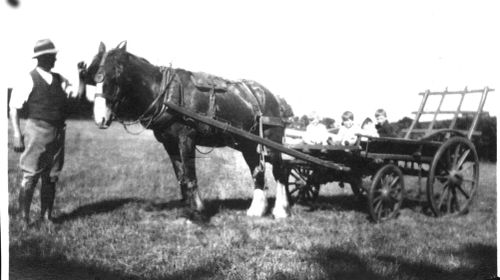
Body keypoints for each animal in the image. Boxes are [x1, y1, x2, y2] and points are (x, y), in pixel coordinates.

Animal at [80, 41, 294, 220]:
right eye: (95, 78)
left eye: (115, 76)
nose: (99, 118)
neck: (165, 93)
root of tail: (271, 96)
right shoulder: (169, 143)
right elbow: (181, 176)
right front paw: (188, 208)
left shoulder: (186, 139)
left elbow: (190, 175)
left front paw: (198, 211)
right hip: (247, 143)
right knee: (257, 171)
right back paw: (256, 209)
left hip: (272, 140)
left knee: (280, 171)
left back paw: (281, 210)